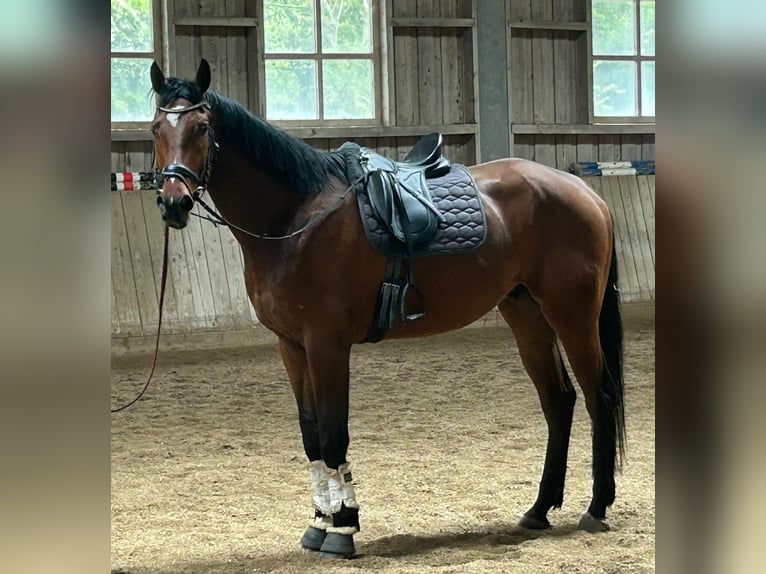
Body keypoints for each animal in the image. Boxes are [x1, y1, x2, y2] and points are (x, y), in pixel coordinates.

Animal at [148, 60, 624, 560]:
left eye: (202, 128)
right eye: (156, 127)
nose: (173, 202)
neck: (297, 218)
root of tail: (584, 192)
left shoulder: (327, 344)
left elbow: (334, 433)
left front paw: (343, 528)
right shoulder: (292, 347)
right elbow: (311, 434)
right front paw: (318, 523)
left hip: (573, 316)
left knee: (600, 395)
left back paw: (596, 508)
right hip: (528, 316)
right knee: (559, 400)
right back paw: (539, 509)